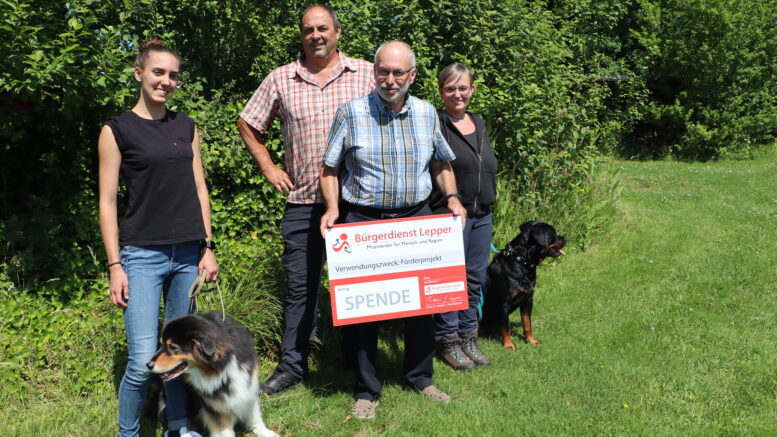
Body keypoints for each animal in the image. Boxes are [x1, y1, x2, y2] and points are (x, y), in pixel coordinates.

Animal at [147, 312, 278, 434]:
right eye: (161, 344)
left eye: (173, 347)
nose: (148, 365)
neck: (223, 364)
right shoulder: (214, 406)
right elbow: (224, 431)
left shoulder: (248, 384)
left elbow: (254, 415)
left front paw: (265, 432)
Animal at [478, 220, 564, 350]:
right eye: (553, 234)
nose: (565, 238)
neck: (521, 263)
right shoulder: (504, 303)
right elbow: (505, 327)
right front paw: (508, 345)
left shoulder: (528, 300)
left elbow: (527, 324)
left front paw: (532, 341)